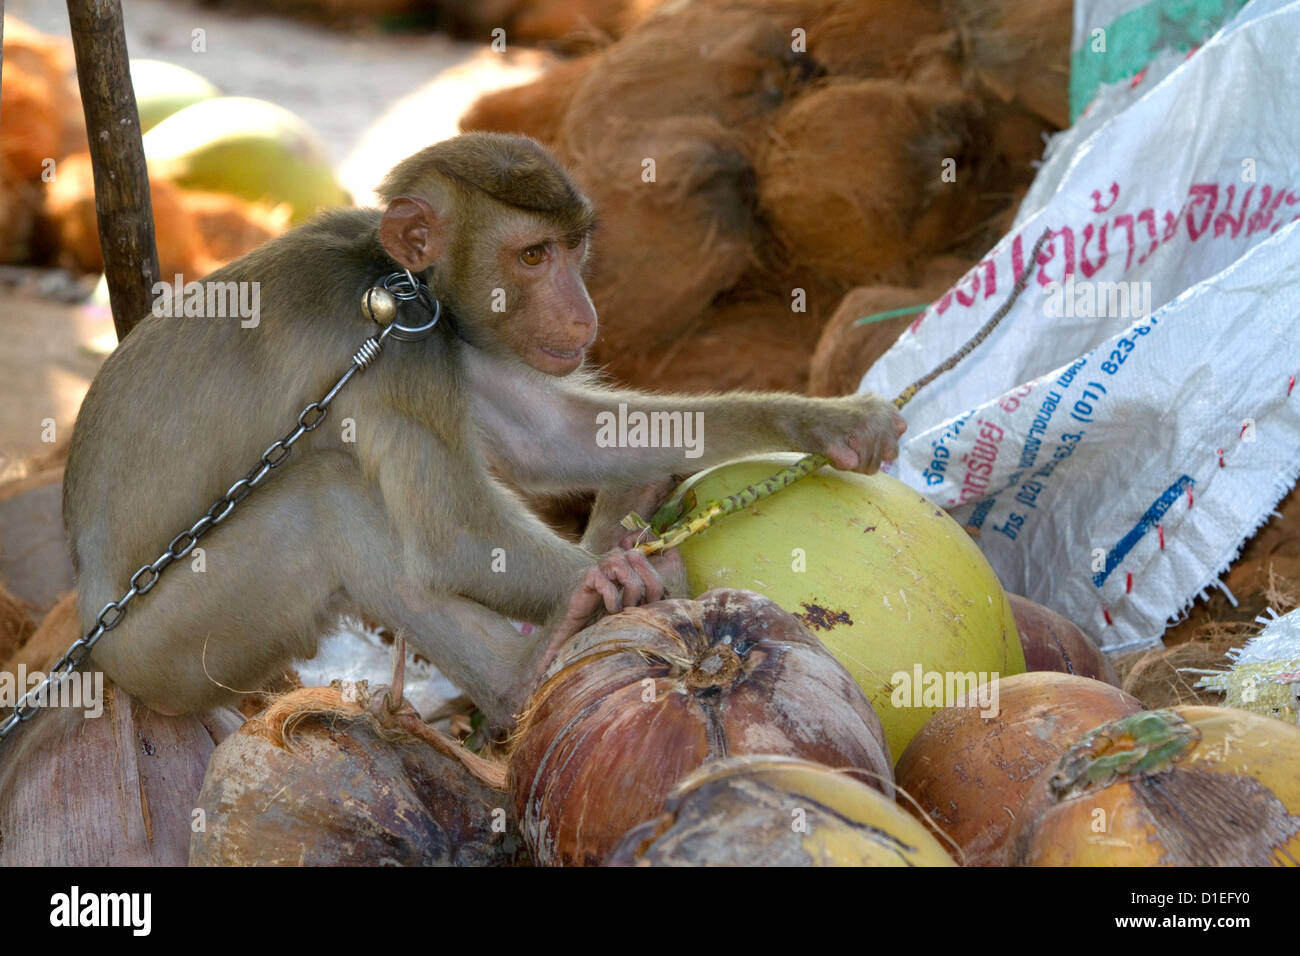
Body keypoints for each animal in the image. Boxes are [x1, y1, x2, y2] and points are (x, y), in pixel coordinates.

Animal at [58, 132, 904, 733]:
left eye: (571, 247)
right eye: (532, 255)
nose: (583, 313)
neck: (396, 278)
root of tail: (91, 634)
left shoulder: (453, 337)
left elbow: (557, 439)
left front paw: (828, 420)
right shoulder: (400, 352)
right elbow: (457, 539)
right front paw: (659, 590)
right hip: (169, 650)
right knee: (326, 500)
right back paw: (521, 675)